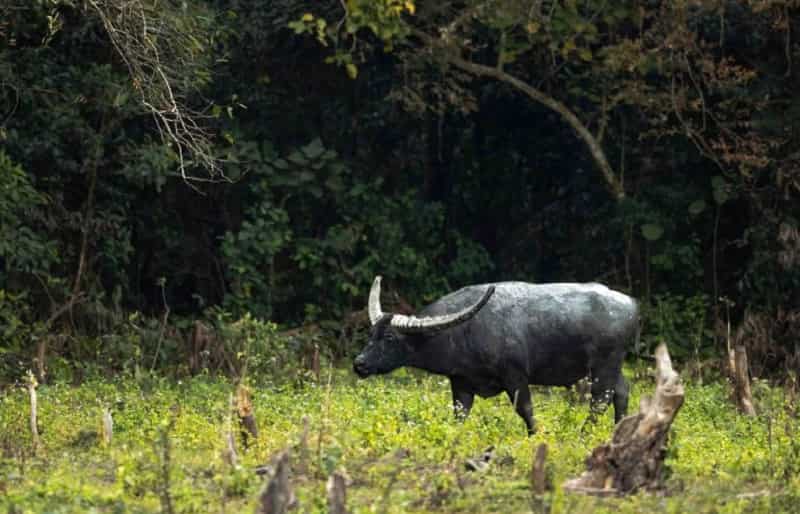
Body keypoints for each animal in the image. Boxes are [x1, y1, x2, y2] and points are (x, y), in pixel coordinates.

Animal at [354, 276, 640, 432]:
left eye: (390, 338)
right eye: (371, 334)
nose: (359, 364)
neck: (465, 331)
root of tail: (631, 304)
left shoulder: (515, 377)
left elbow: (525, 410)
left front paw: (535, 436)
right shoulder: (461, 383)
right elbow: (459, 414)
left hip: (604, 364)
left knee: (600, 399)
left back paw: (585, 433)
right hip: (610, 366)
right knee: (621, 391)